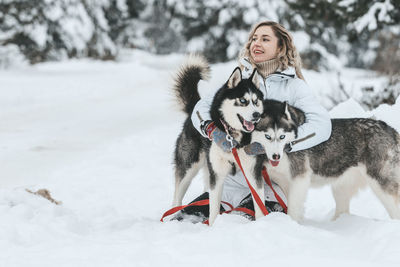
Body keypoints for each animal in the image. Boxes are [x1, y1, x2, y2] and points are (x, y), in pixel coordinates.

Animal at [172, 55, 266, 226]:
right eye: (243, 101)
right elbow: (214, 207)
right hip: (188, 167)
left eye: (256, 101)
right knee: (177, 197)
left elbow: (259, 204)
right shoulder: (217, 173)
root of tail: (193, 109)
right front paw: (214, 225)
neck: (234, 138)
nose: (256, 115)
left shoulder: (253, 171)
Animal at [253, 100, 400, 222]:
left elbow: (293, 209)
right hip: (341, 187)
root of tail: (390, 129)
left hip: (380, 183)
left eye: (282, 136)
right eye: (267, 136)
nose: (276, 156)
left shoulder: (299, 178)